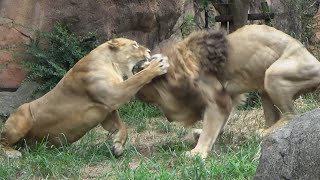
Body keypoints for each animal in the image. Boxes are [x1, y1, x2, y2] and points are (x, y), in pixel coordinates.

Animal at [0, 37, 169, 158]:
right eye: (134, 45)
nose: (149, 51)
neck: (112, 64)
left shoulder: (107, 112)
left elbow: (122, 127)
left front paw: (117, 146)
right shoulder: (114, 94)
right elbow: (138, 78)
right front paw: (158, 65)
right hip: (21, 119)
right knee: (3, 141)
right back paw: (12, 154)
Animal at [134, 24, 320, 158]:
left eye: (155, 100)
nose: (168, 117)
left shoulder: (216, 97)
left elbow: (210, 126)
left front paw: (197, 153)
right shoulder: (229, 96)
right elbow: (219, 123)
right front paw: (205, 135)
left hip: (273, 74)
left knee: (291, 115)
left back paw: (265, 133)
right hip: (264, 83)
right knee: (275, 115)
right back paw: (266, 130)